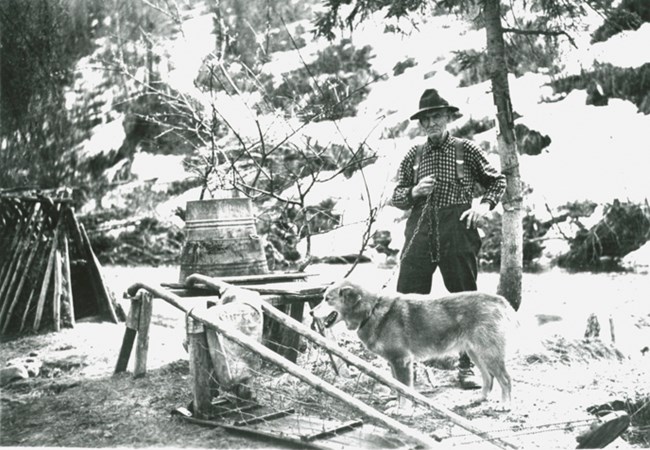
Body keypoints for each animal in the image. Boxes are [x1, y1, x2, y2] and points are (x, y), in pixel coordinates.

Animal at [312, 280, 512, 414]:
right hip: (475, 353)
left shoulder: (402, 361)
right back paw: (481, 397)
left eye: (327, 299)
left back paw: (505, 405)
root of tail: (498, 300)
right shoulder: (394, 363)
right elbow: (398, 389)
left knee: (505, 379)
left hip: (488, 354)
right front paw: (397, 405)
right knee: (488, 378)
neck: (371, 310)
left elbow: (405, 390)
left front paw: (403, 410)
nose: (311, 312)